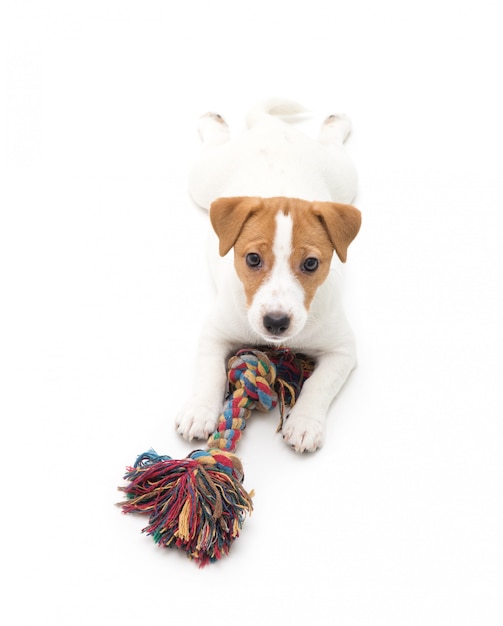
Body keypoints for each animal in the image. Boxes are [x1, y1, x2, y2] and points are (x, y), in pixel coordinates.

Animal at [175, 96, 360, 448]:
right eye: (252, 259)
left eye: (311, 264)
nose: (275, 322)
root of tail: (270, 127)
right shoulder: (214, 332)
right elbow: (210, 373)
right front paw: (200, 412)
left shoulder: (342, 350)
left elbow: (319, 384)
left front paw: (304, 423)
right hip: (205, 179)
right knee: (213, 146)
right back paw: (213, 121)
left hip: (342, 175)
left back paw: (336, 122)